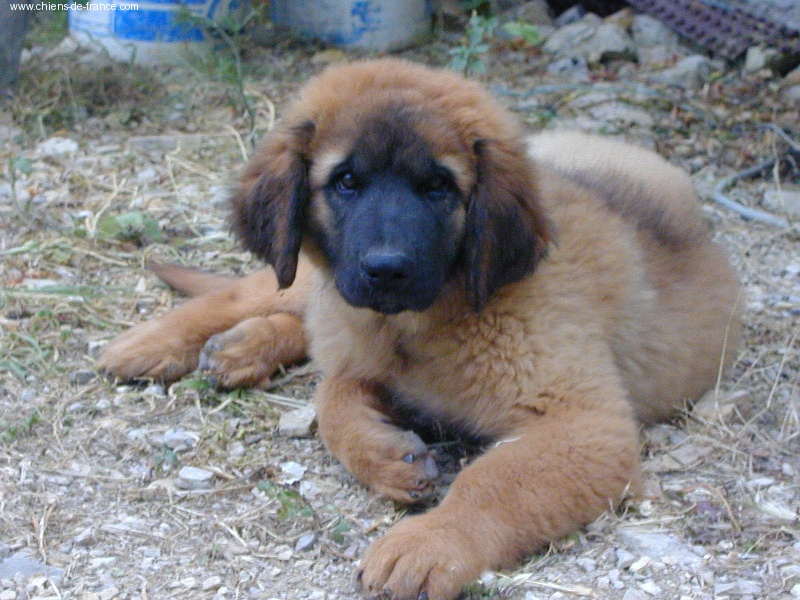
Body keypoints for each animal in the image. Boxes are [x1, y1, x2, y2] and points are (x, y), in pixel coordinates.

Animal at [99, 59, 741, 600]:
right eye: (346, 181)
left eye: (439, 187)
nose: (386, 269)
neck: (420, 324)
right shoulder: (365, 334)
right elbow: (333, 396)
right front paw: (389, 457)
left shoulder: (583, 422)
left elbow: (492, 478)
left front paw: (429, 543)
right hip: (316, 276)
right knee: (261, 290)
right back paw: (153, 344)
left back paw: (237, 349)